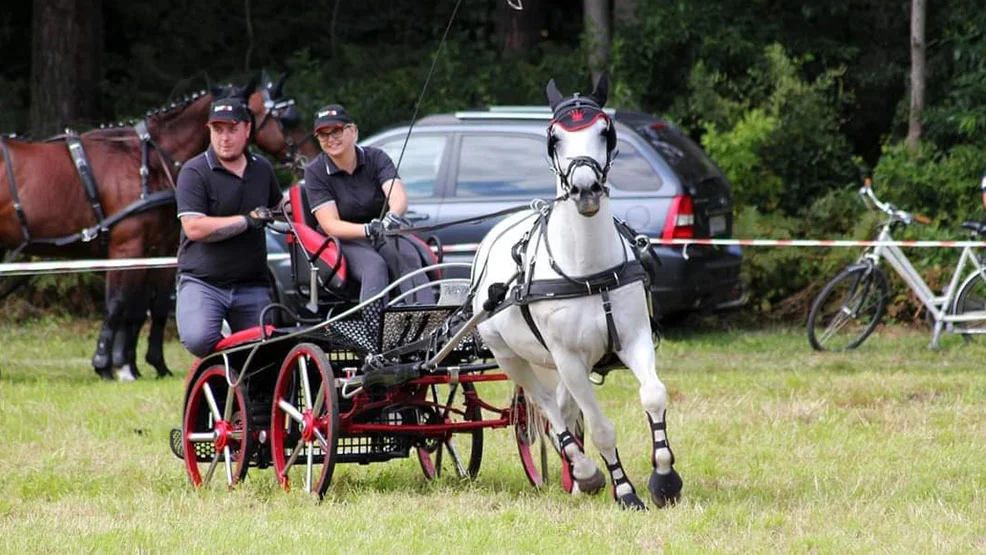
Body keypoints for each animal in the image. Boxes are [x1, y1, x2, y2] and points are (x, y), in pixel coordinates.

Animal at [0, 73, 314, 378]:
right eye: (285, 118)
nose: (307, 158)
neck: (151, 161)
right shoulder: (127, 247)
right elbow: (118, 304)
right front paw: (106, 364)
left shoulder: (159, 247)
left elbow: (150, 307)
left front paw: (143, 364)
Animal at [468, 76, 680, 510]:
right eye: (556, 137)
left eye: (604, 131)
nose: (585, 189)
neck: (589, 273)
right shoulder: (569, 359)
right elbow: (599, 427)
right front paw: (625, 492)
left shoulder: (635, 339)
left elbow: (653, 394)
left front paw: (665, 480)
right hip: (511, 356)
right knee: (549, 409)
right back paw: (585, 471)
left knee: (563, 409)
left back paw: (579, 476)